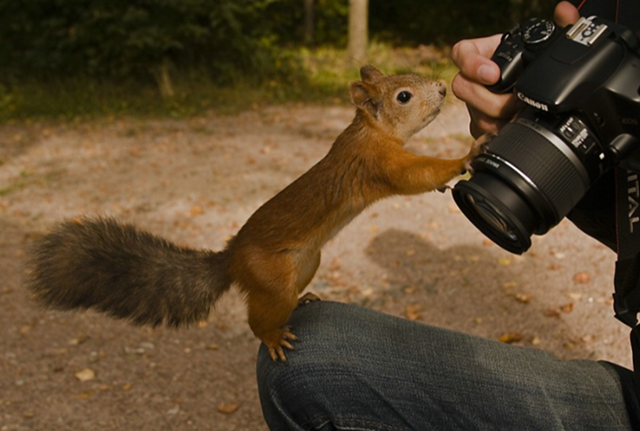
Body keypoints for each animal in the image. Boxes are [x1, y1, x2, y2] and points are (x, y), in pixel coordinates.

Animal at [26, 65, 484, 362]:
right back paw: (273, 337)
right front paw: (465, 156)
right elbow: (415, 175)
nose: (442, 88)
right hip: (271, 278)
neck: (369, 131)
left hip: (307, 261)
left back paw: (305, 299)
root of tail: (232, 258)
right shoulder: (377, 164)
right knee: (258, 318)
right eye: (403, 96)